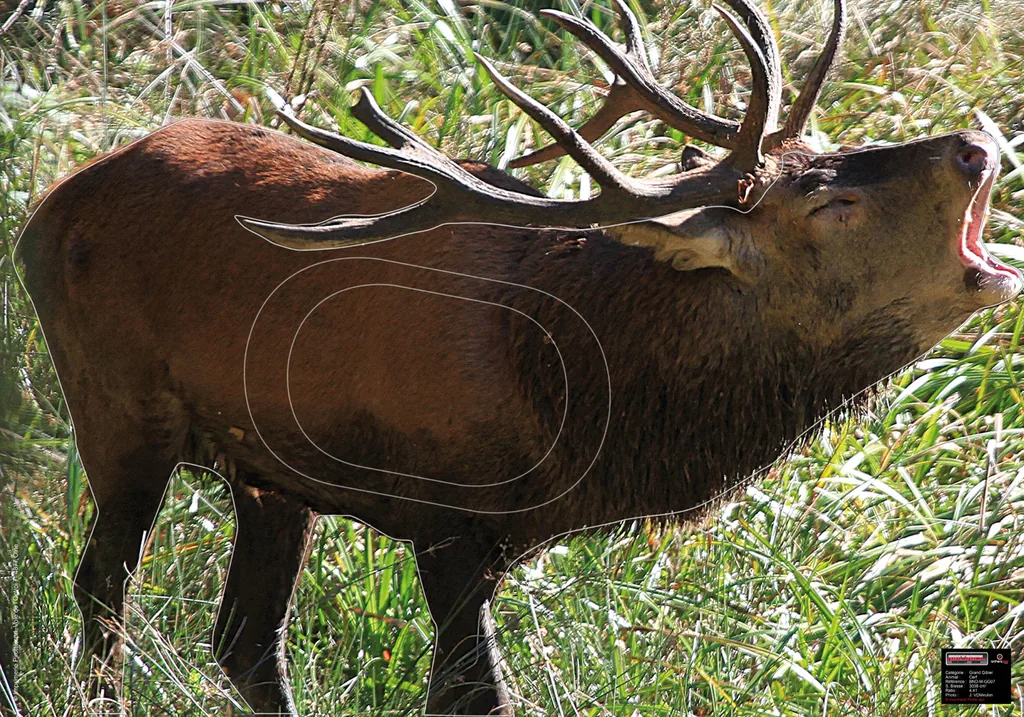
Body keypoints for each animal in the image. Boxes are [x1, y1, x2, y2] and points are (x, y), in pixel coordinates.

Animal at [14, 0, 1022, 714]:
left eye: (836, 151)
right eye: (830, 205)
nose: (978, 144)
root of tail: (46, 207)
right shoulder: (444, 509)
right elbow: (479, 696)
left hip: (267, 469)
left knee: (245, 641)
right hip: (115, 403)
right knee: (104, 588)